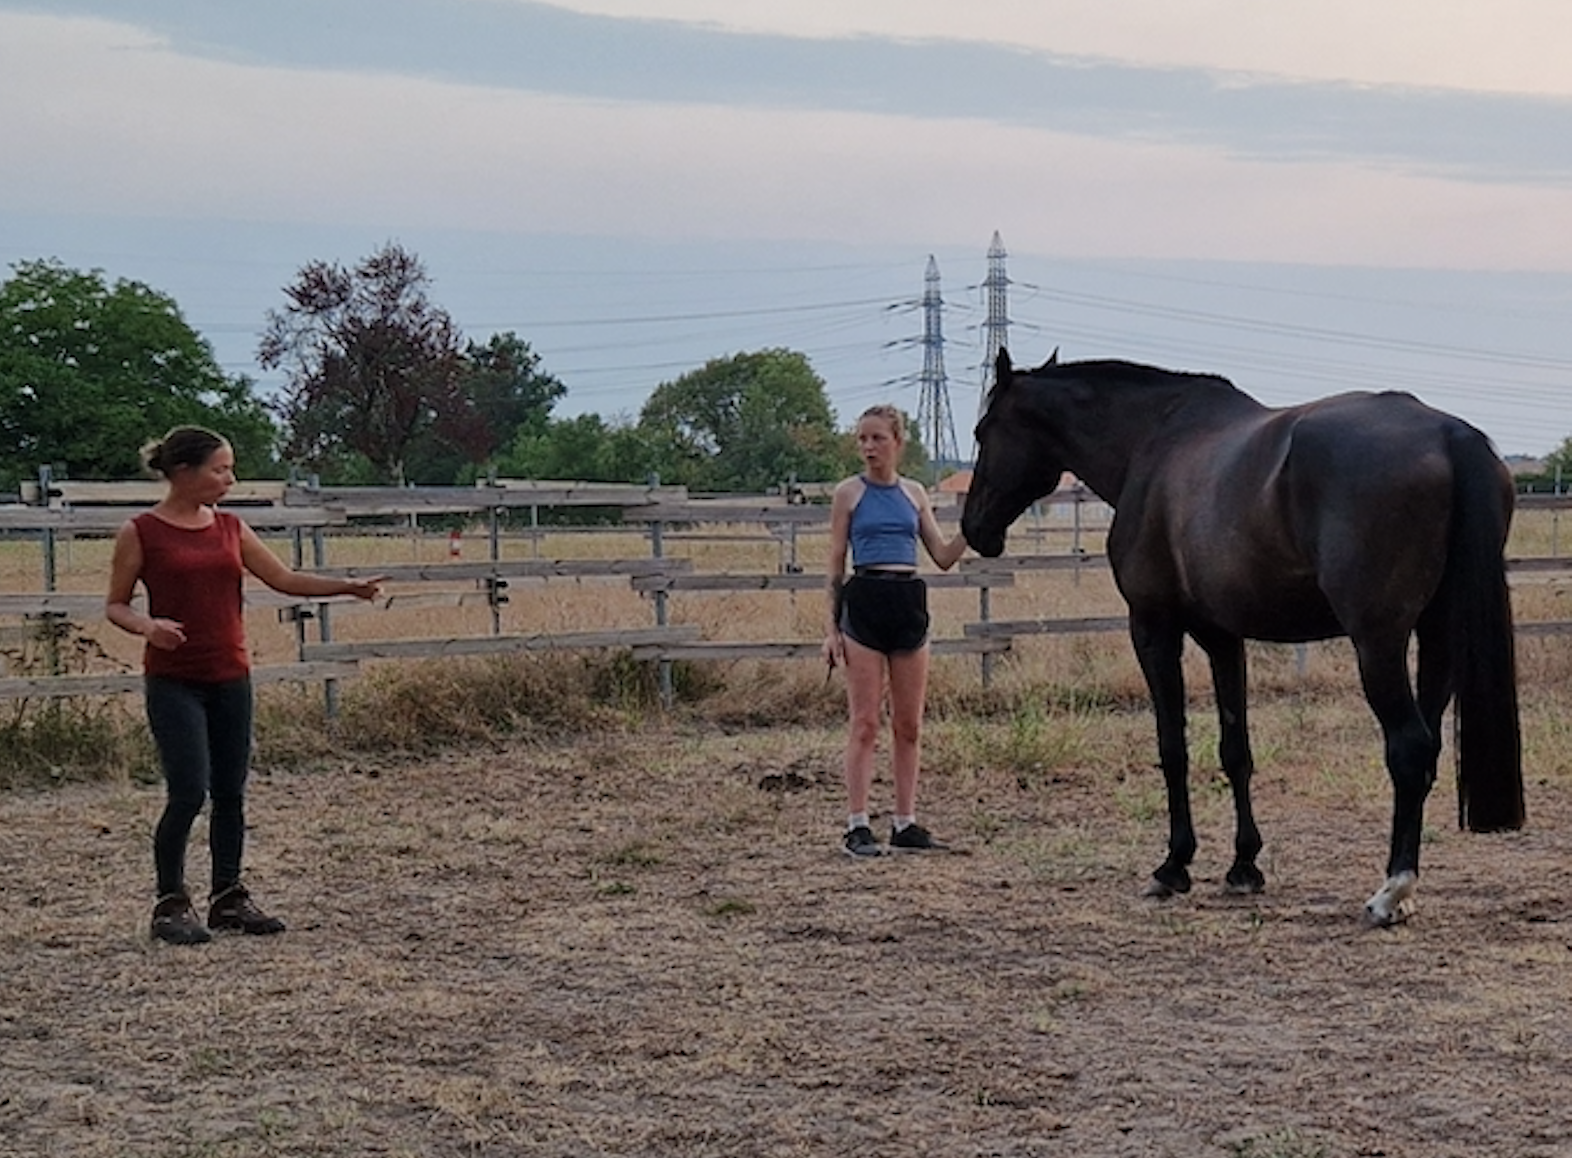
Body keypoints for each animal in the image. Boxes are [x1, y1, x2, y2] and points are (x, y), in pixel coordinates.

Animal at [955, 345, 1521, 923]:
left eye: (982, 431)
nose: (974, 528)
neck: (1153, 441)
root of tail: (1449, 436)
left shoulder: (1154, 627)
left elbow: (1173, 747)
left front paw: (1172, 866)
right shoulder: (1223, 637)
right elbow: (1235, 750)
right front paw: (1244, 866)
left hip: (1378, 644)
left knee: (1409, 748)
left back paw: (1392, 890)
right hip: (1439, 636)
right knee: (1428, 750)